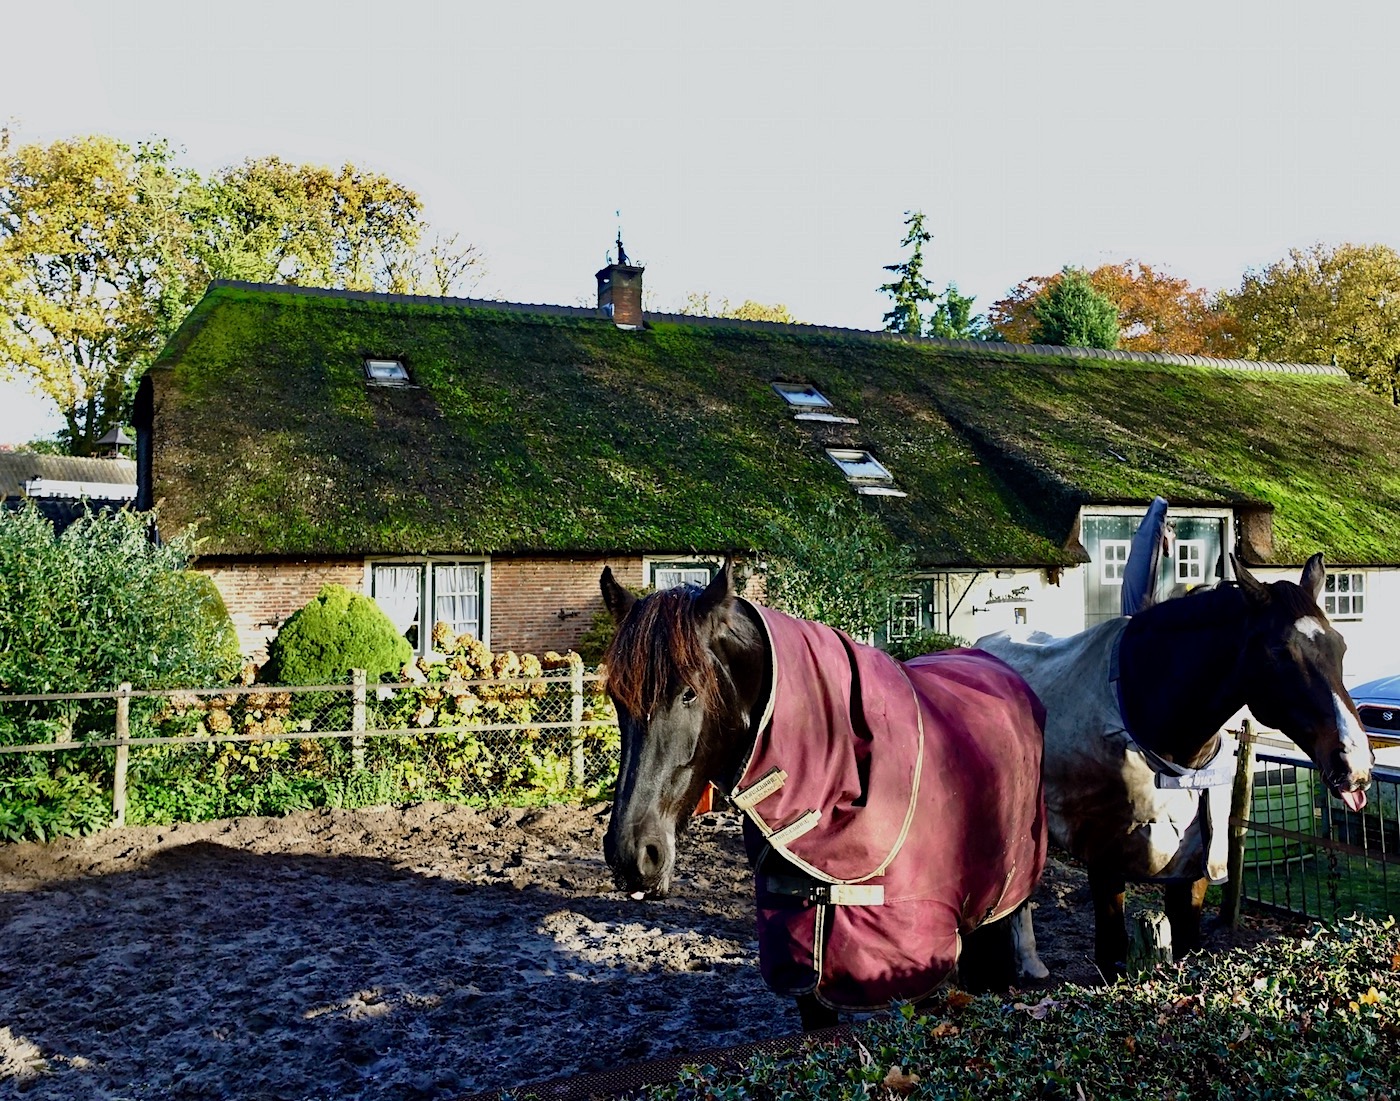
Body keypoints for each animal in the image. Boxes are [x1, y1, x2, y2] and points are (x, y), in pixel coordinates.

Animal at [977, 553, 1375, 981]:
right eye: (1281, 652)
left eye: (1340, 647)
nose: (1354, 763)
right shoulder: (1104, 855)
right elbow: (1112, 953)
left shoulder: (1195, 861)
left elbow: (1187, 941)